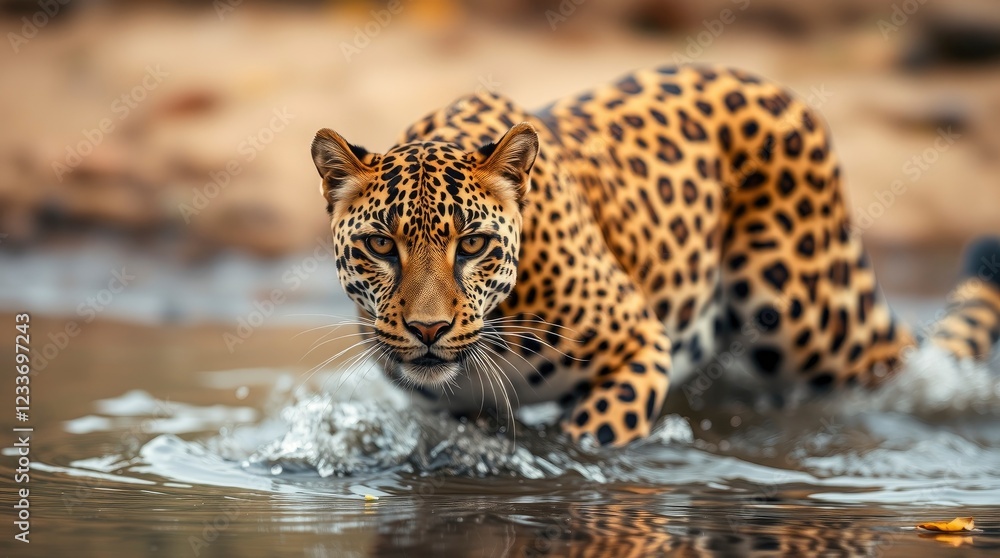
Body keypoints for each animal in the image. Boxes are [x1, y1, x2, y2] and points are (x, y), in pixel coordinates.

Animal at [310, 64, 1000, 446]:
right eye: (381, 245)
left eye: (472, 244)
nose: (428, 330)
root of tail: (773, 87)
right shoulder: (454, 415)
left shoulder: (641, 344)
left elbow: (595, 436)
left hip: (810, 320)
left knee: (900, 361)